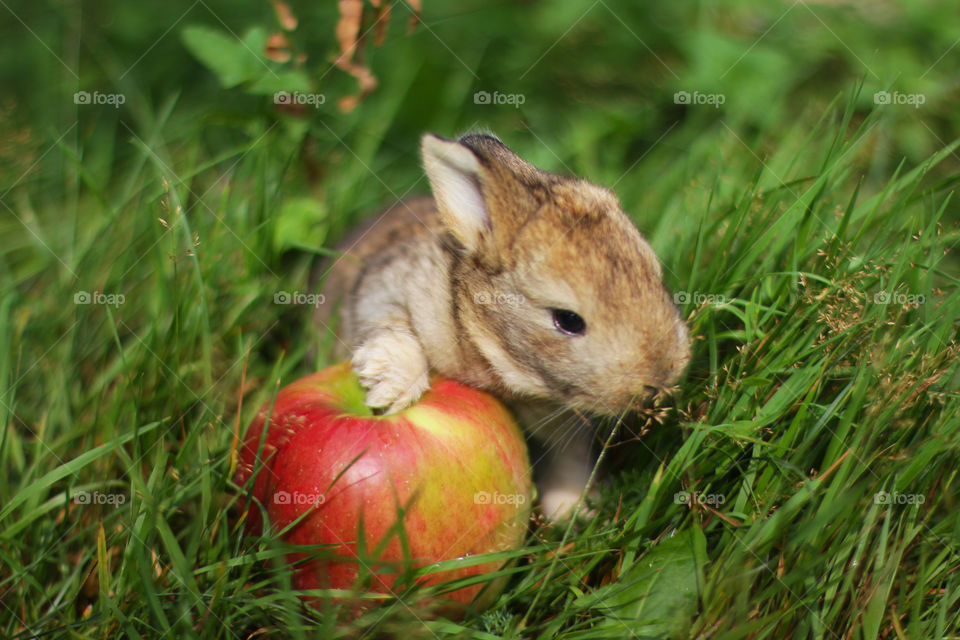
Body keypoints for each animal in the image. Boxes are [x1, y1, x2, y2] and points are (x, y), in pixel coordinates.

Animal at [313, 132, 690, 517]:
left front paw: (572, 509)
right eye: (568, 320)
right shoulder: (385, 289)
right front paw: (390, 390)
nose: (661, 378)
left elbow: (569, 454)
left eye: (655, 277)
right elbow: (393, 331)